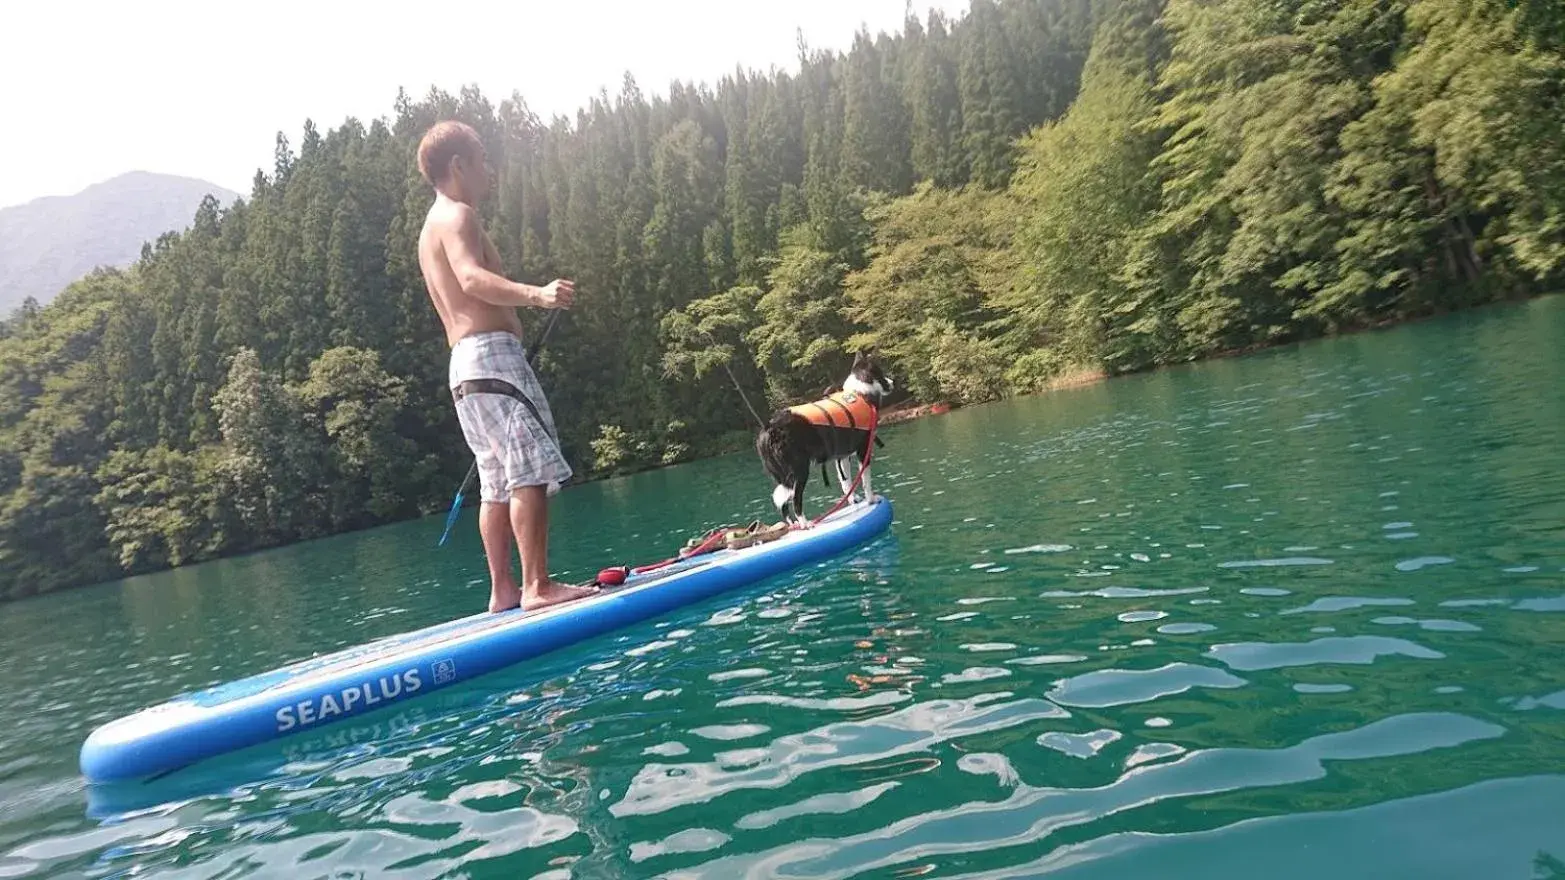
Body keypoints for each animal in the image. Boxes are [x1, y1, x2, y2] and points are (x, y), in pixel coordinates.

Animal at [757, 347, 895, 526]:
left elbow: (846, 482)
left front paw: (853, 500)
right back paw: (806, 523)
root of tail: (770, 428)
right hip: (800, 469)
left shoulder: (842, 456)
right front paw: (871, 499)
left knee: (783, 503)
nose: (892, 382)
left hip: (782, 475)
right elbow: (865, 480)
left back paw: (794, 525)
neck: (859, 392)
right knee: (795, 500)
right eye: (880, 373)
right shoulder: (863, 450)